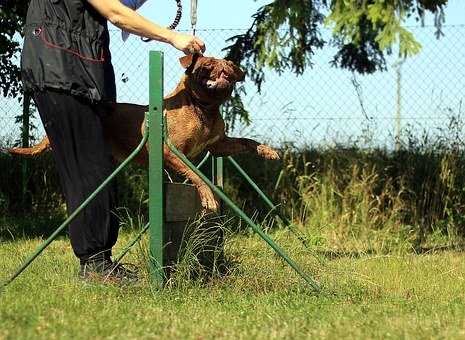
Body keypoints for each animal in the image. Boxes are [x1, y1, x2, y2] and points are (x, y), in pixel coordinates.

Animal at [10, 55, 280, 210]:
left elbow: (246, 141)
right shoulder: (171, 151)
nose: (224, 73)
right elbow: (195, 174)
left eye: (228, 69)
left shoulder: (218, 145)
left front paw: (267, 151)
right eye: (206, 66)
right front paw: (208, 197)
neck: (204, 108)